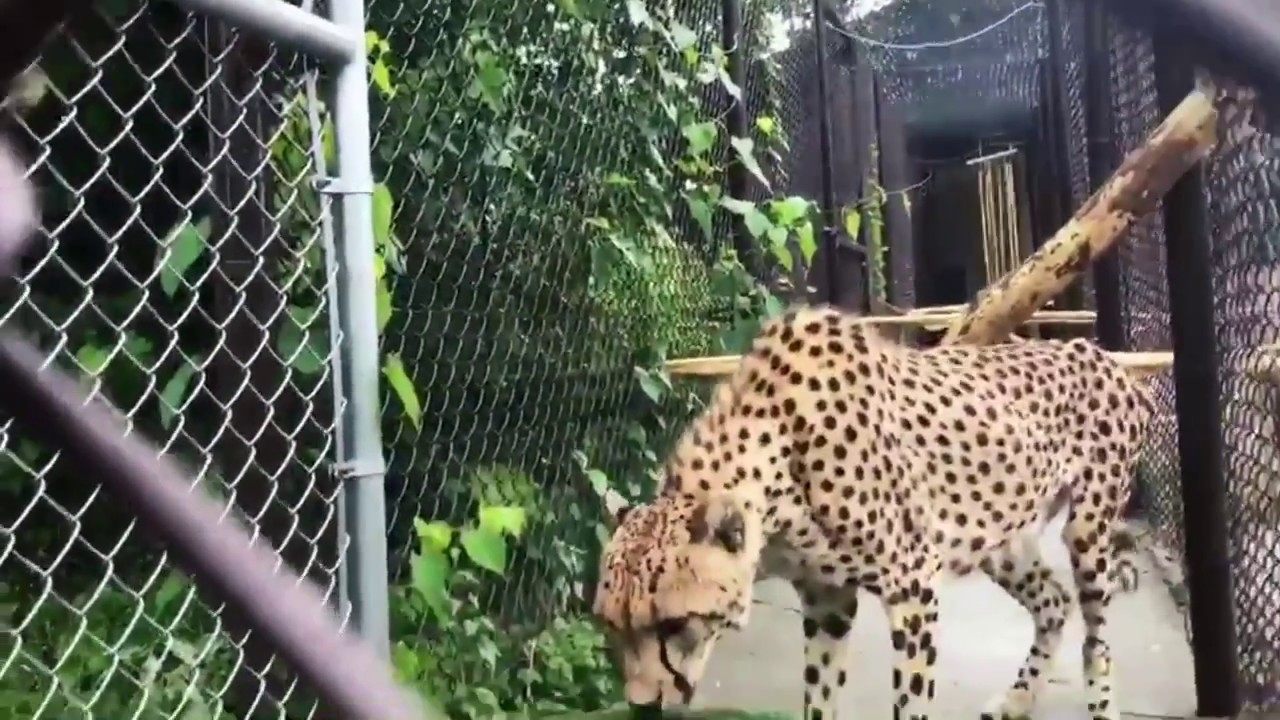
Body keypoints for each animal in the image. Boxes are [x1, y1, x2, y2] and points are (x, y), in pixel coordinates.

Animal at [592, 305, 1154, 720]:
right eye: (611, 627)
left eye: (673, 624)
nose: (642, 707)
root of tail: (1101, 356)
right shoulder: (826, 598)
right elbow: (818, 699)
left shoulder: (913, 586)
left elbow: (910, 703)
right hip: (999, 536)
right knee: (1054, 602)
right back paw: (1016, 701)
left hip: (1087, 530)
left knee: (1096, 639)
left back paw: (1100, 705)